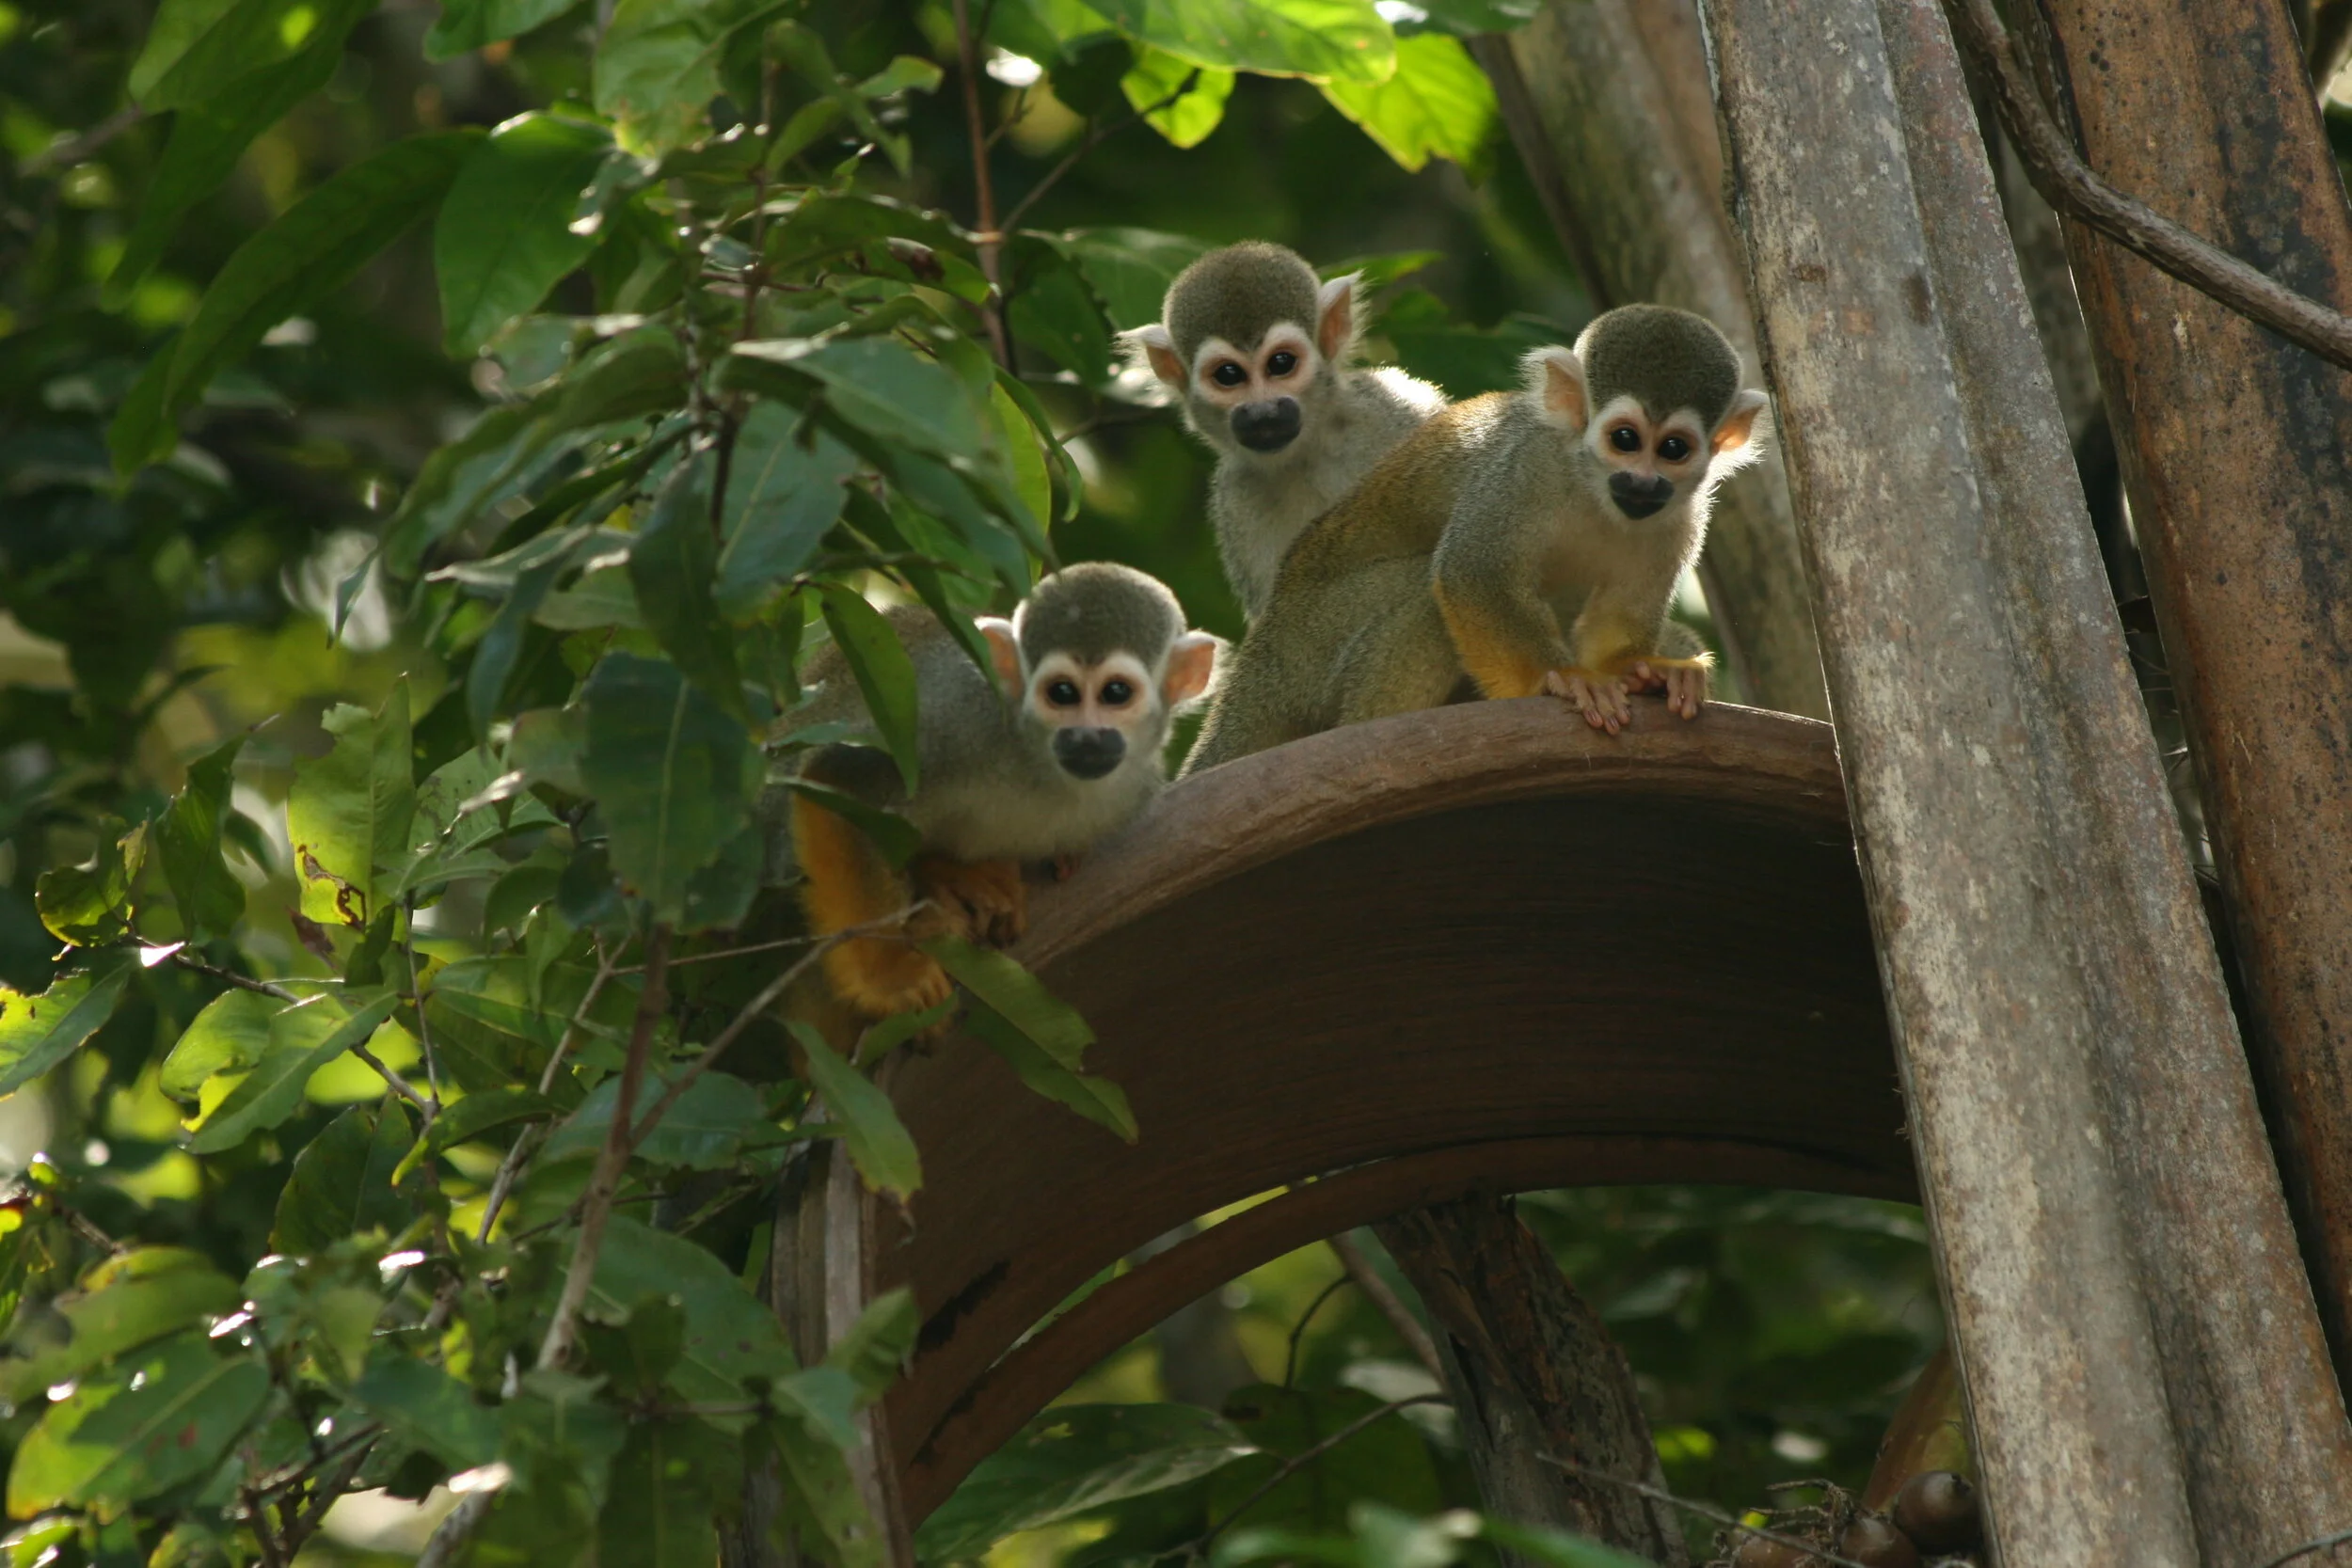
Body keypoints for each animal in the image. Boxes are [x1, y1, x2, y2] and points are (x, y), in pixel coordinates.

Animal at [787, 563, 1221, 1020]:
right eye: (1062, 693)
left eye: (1116, 693)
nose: (1085, 738)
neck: (1040, 767)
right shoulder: (957, 723)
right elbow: (838, 779)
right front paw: (890, 977)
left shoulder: (1134, 792)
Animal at [1125, 241, 1445, 620]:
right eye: (1228, 375)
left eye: (1281, 363)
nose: (1263, 412)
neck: (1308, 452)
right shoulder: (1238, 500)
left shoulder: (1390, 411)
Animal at [1183, 304, 1767, 774]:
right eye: (1625, 439)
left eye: (1673, 449)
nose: (1642, 483)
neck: (1595, 490)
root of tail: (1263, 653)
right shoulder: (1524, 469)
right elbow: (1472, 572)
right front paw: (1559, 681)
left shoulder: (1682, 516)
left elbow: (1617, 620)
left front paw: (1641, 671)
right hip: (1309, 642)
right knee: (1423, 597)